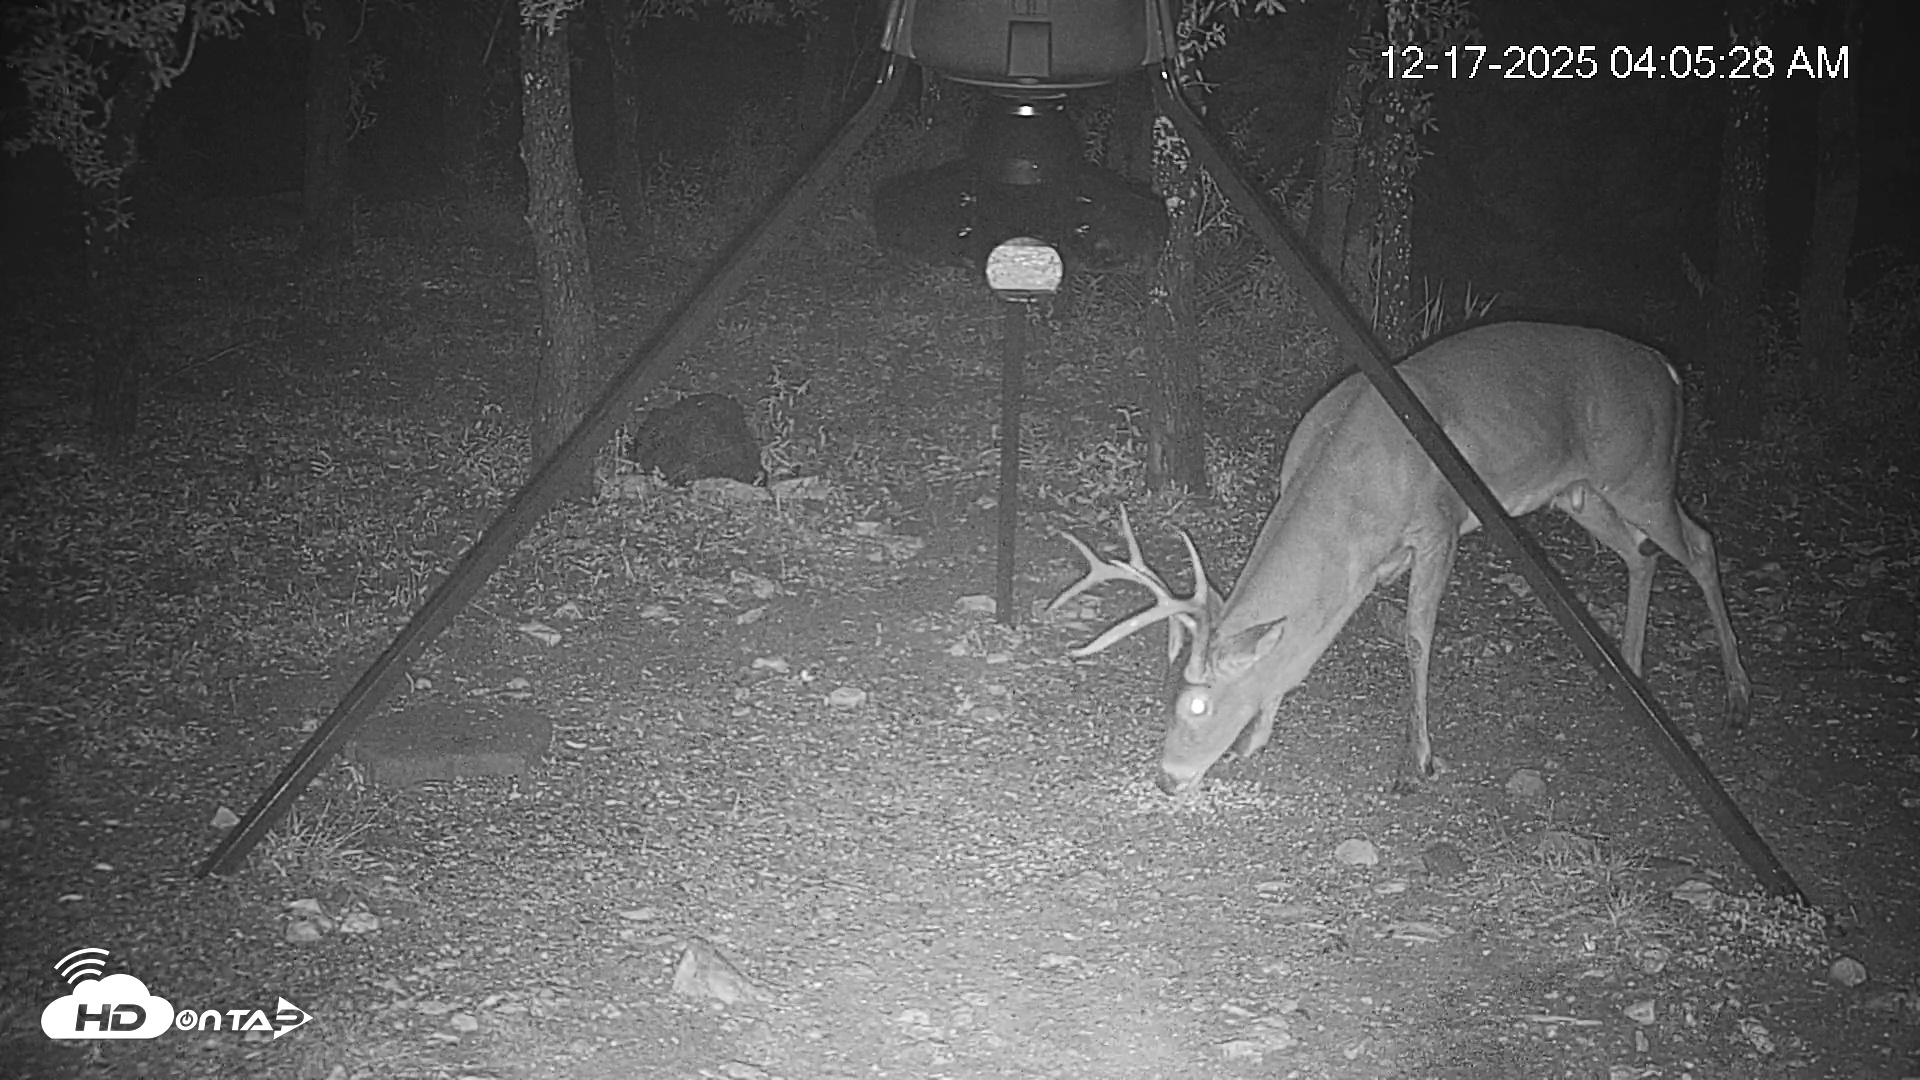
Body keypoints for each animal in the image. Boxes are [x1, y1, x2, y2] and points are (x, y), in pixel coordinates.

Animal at [1050, 322, 1754, 795]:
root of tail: (1664, 366)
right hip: (1581, 493)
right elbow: (1304, 648)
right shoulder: (1358, 572)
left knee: (1700, 543)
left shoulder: (1438, 526)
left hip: (1642, 472)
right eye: (1166, 694)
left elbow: (1416, 636)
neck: (1348, 481)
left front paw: (1415, 762)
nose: (1168, 777)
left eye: (1197, 705)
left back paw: (1738, 696)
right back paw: (1633, 666)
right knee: (1642, 553)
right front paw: (1258, 738)